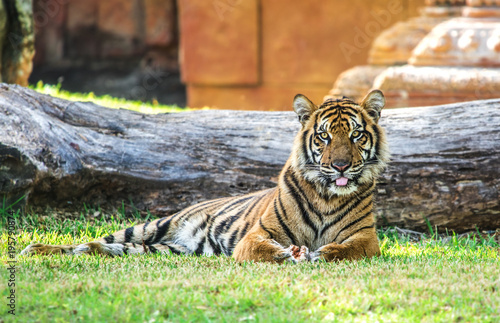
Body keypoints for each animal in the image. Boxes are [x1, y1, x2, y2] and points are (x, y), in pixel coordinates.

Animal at [21, 90, 388, 264]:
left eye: (355, 135)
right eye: (324, 136)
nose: (340, 166)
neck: (326, 195)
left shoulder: (366, 239)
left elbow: (348, 250)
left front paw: (323, 253)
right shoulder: (257, 235)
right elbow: (263, 250)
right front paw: (288, 254)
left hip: (161, 250)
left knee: (105, 248)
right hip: (153, 225)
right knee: (91, 241)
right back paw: (35, 249)